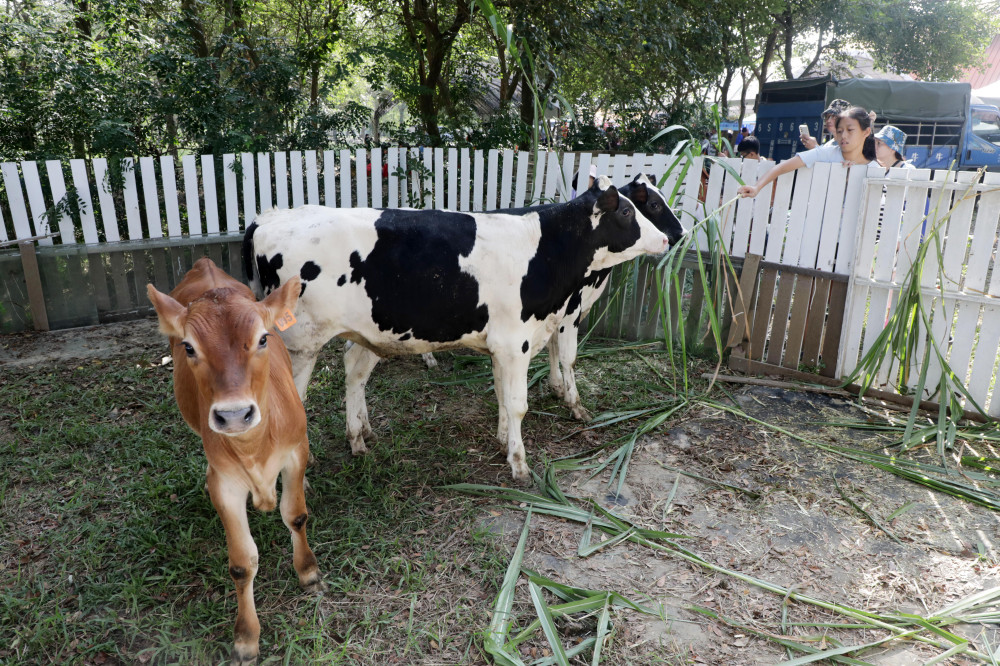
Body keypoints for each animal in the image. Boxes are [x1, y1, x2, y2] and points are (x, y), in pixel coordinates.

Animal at [146, 256, 320, 660]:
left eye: (263, 338)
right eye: (189, 347)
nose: (235, 414)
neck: (256, 448)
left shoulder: (296, 451)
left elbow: (296, 515)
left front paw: (307, 572)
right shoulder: (224, 483)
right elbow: (242, 563)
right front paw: (246, 637)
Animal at [240, 176, 672, 478]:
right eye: (631, 211)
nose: (669, 238)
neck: (548, 248)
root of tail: (268, 217)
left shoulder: (507, 344)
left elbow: (503, 396)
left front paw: (502, 442)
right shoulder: (516, 341)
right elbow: (519, 403)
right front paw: (520, 464)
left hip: (368, 331)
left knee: (354, 371)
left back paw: (359, 438)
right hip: (300, 343)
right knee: (288, 406)